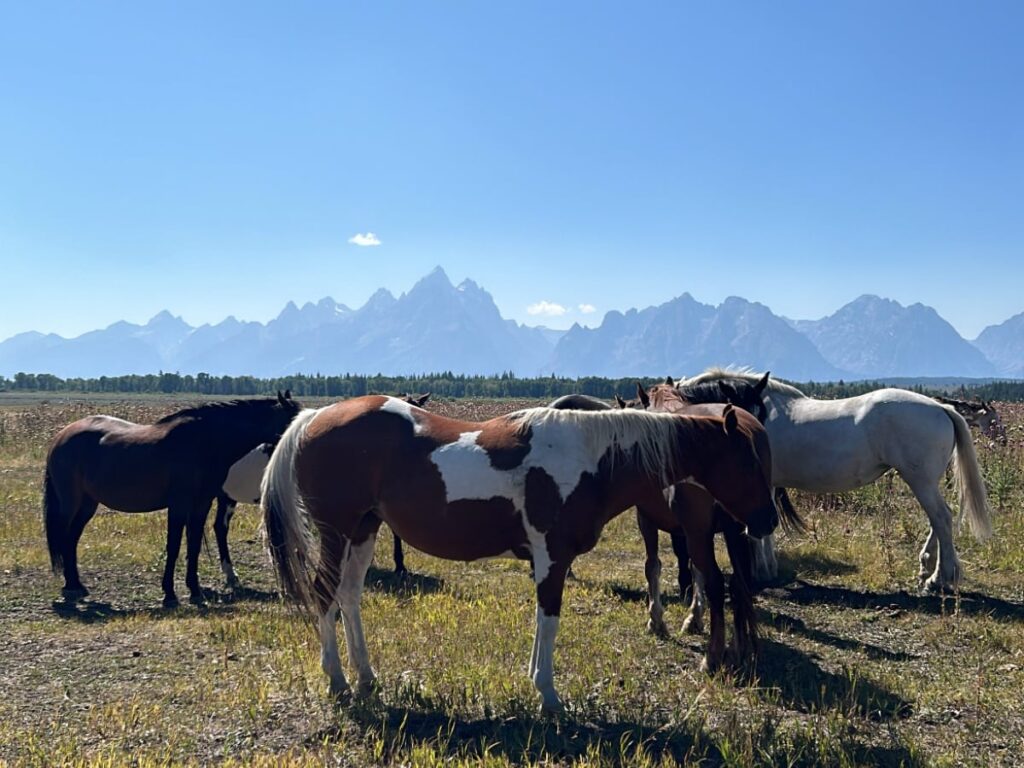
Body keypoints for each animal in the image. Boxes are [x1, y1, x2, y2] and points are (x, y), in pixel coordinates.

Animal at [44, 391, 302, 606]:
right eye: (291, 421)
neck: (203, 442)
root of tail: (61, 436)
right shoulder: (179, 504)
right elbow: (174, 546)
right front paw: (170, 594)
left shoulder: (201, 504)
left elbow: (193, 545)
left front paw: (195, 591)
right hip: (71, 503)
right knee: (65, 536)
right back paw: (70, 587)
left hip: (88, 504)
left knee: (72, 538)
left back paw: (77, 585)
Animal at [262, 395, 778, 711]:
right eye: (747, 462)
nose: (767, 521)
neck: (589, 458)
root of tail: (314, 417)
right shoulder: (552, 557)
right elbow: (548, 621)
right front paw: (548, 694)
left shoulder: (546, 559)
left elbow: (541, 622)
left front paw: (537, 683)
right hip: (335, 532)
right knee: (324, 594)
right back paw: (337, 680)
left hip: (364, 531)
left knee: (349, 596)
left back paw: (366, 676)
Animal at [683, 369, 993, 592]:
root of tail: (941, 408)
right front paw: (767, 569)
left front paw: (762, 571)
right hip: (925, 482)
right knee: (938, 520)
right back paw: (927, 568)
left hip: (920, 480)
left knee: (941, 518)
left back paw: (941, 578)